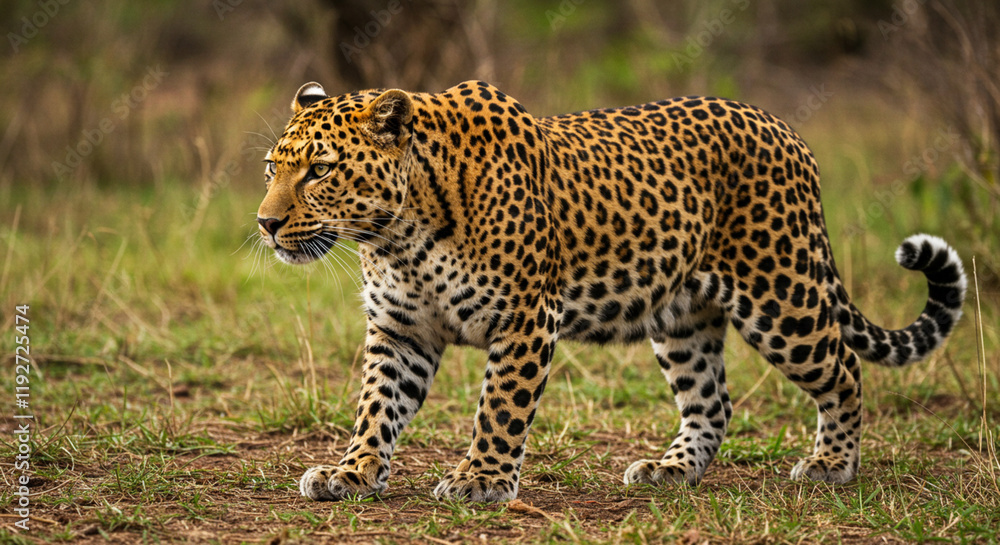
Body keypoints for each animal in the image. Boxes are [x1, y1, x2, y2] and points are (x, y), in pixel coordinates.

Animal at [258, 79, 968, 502]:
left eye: (320, 170)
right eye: (271, 168)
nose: (265, 223)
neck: (397, 234)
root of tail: (785, 129)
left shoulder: (525, 317)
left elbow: (500, 409)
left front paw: (481, 480)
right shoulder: (401, 330)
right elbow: (376, 407)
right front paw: (351, 472)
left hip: (781, 292)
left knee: (844, 367)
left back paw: (831, 465)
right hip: (683, 317)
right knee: (712, 401)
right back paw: (669, 471)